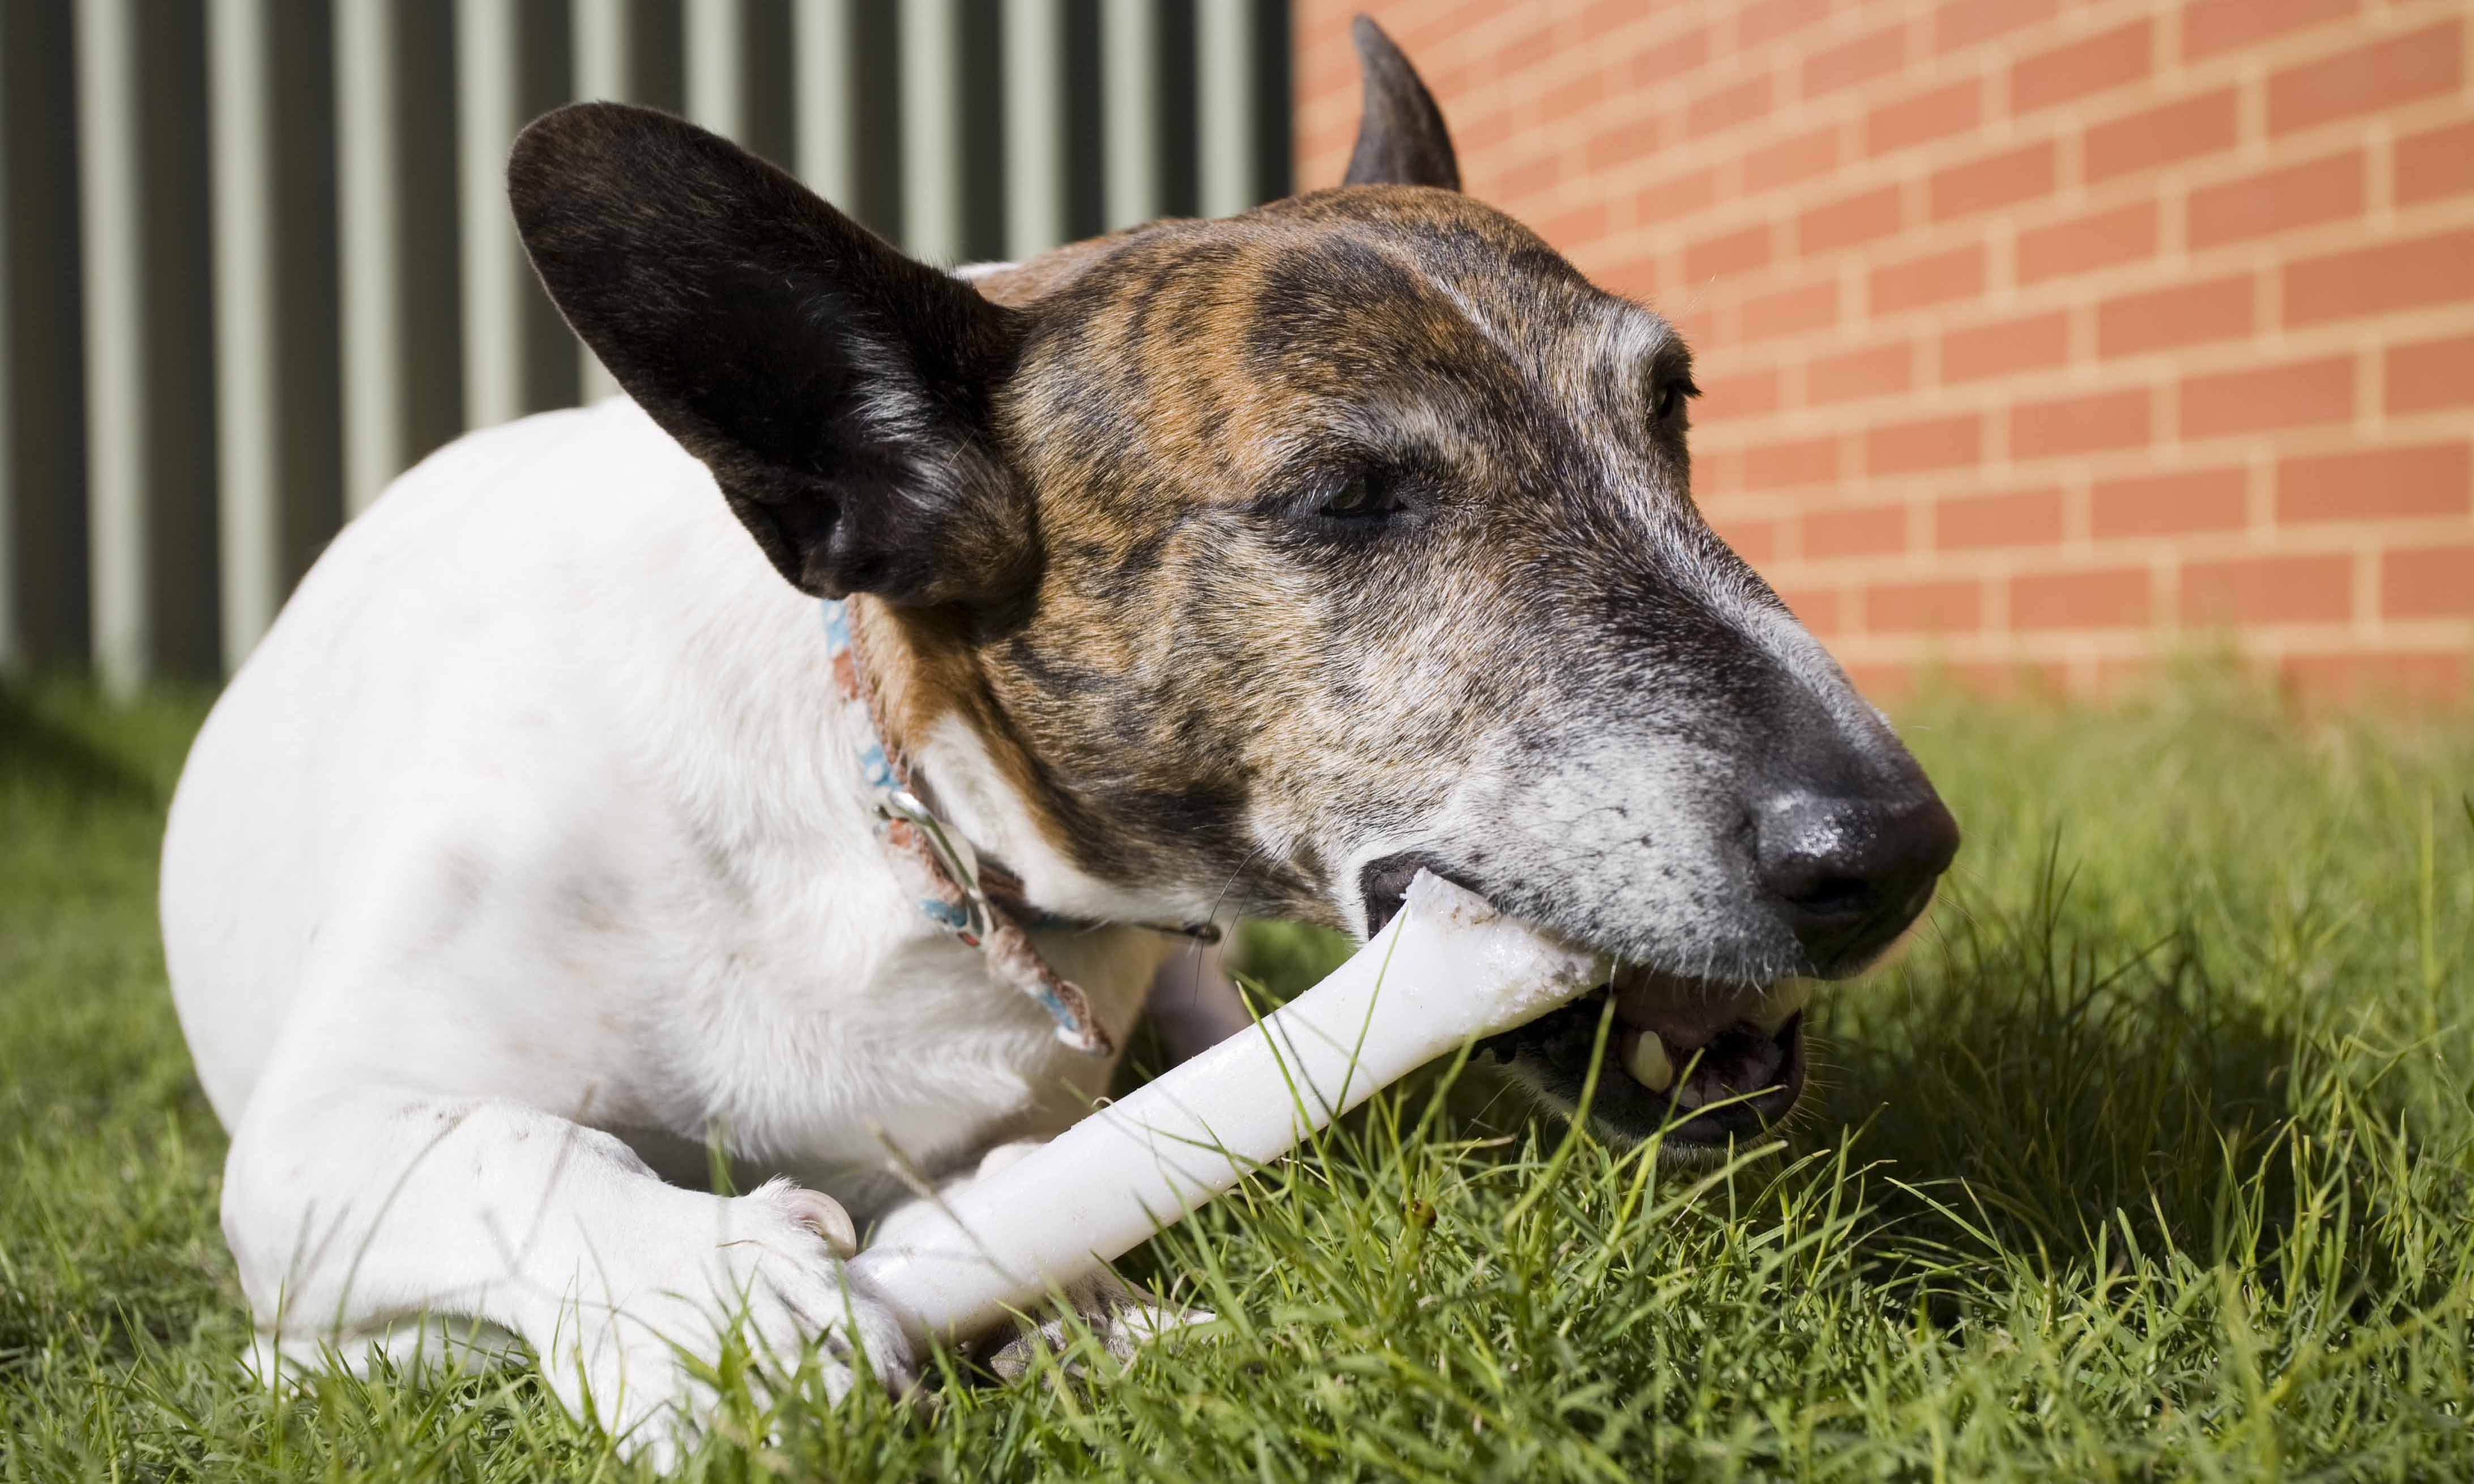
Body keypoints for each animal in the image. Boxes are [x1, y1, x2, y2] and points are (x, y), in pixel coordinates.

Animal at [164, 17, 1959, 1464]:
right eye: (1344, 501)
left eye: (1673, 409)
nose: (1894, 851)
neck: (900, 839)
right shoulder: (317, 1135)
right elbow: (520, 1147)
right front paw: (711, 1294)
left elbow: (1025, 1190)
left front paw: (1094, 1312)